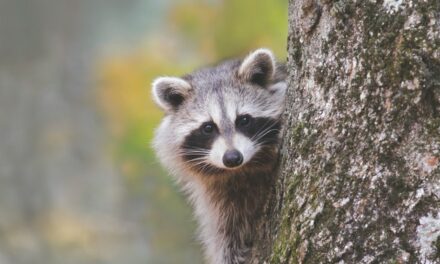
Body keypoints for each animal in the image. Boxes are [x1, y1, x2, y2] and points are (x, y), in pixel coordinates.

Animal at [153, 49, 288, 264]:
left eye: (244, 120)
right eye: (208, 127)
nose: (232, 158)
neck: (244, 170)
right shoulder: (217, 195)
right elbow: (224, 233)